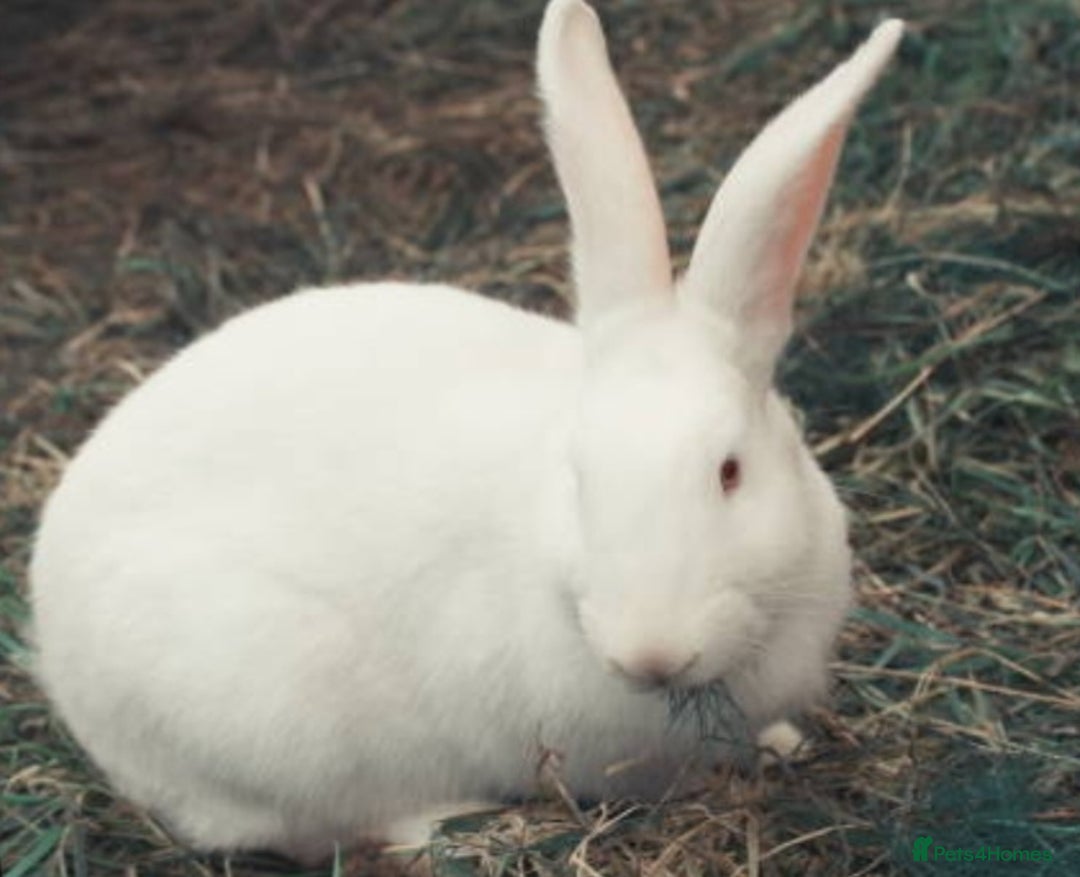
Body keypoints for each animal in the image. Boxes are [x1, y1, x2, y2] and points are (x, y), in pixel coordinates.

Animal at [29, 0, 903, 860]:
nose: (650, 653)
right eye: (579, 479)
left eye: (730, 471)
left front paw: (783, 742)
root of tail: (62, 657)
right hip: (271, 717)